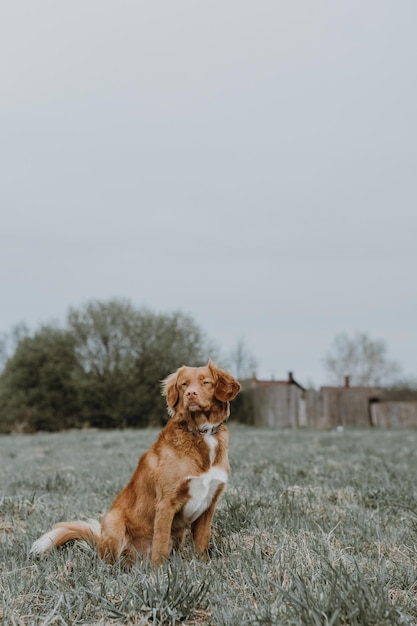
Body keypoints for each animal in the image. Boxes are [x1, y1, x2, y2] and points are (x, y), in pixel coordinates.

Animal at [30, 358, 239, 564]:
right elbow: (160, 546)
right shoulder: (166, 504)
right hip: (113, 521)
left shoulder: (208, 505)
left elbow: (202, 545)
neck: (201, 433)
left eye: (206, 382)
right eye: (184, 384)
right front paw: (160, 572)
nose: (191, 394)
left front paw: (203, 566)